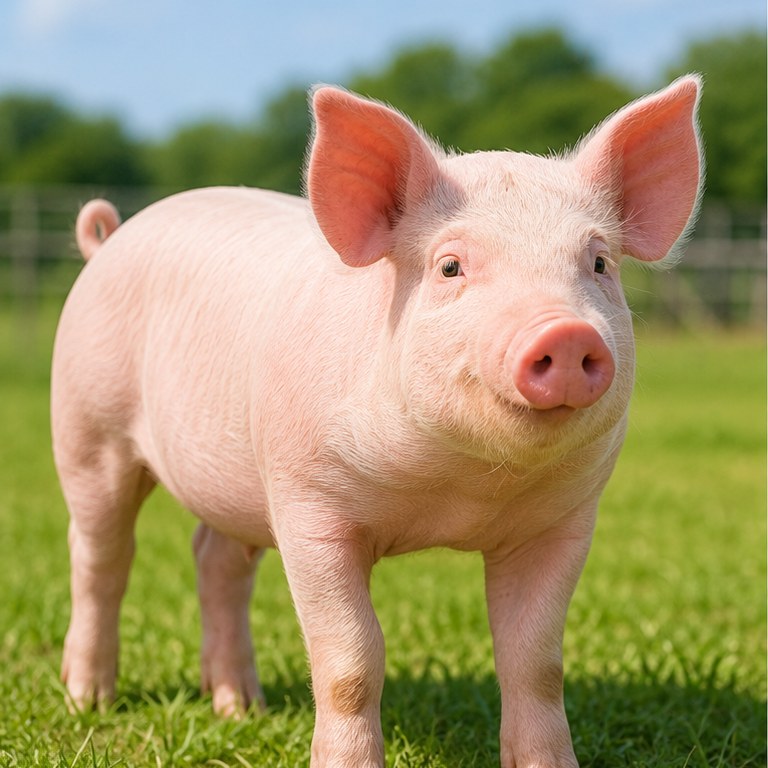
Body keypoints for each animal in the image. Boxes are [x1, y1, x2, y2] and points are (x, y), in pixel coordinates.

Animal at [52, 75, 702, 767]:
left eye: (599, 264)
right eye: (450, 266)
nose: (567, 331)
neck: (456, 491)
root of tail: (109, 240)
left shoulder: (563, 522)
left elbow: (536, 661)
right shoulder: (309, 507)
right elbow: (351, 660)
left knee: (216, 559)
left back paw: (240, 707)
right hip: (87, 426)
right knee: (100, 555)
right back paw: (89, 700)